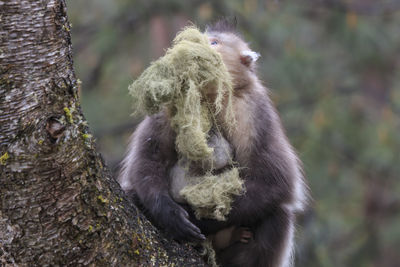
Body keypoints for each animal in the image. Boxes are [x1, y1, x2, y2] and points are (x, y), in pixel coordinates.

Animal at [117, 19, 308, 267]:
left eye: (215, 42)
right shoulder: (170, 105)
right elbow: (149, 158)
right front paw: (168, 213)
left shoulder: (254, 111)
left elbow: (274, 181)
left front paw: (199, 220)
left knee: (278, 215)